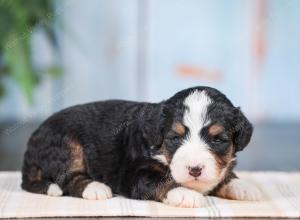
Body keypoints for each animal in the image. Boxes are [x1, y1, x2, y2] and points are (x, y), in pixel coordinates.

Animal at [21, 87, 260, 207]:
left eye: (217, 140)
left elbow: (224, 176)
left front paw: (244, 186)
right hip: (67, 143)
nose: (195, 169)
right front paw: (185, 194)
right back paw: (96, 188)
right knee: (68, 178)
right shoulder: (135, 175)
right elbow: (161, 181)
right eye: (175, 138)